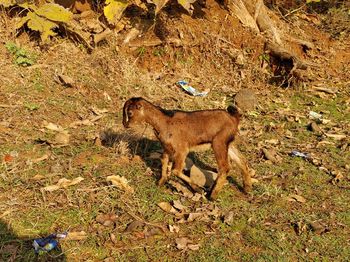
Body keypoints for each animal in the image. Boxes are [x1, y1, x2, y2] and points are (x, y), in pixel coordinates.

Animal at [123, 97, 252, 200]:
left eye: (130, 112)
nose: (126, 125)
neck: (164, 121)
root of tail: (234, 118)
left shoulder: (182, 150)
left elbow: (176, 170)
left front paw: (198, 189)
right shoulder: (167, 149)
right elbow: (164, 161)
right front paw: (161, 182)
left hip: (219, 143)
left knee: (225, 167)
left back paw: (212, 196)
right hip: (228, 144)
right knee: (242, 161)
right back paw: (247, 188)